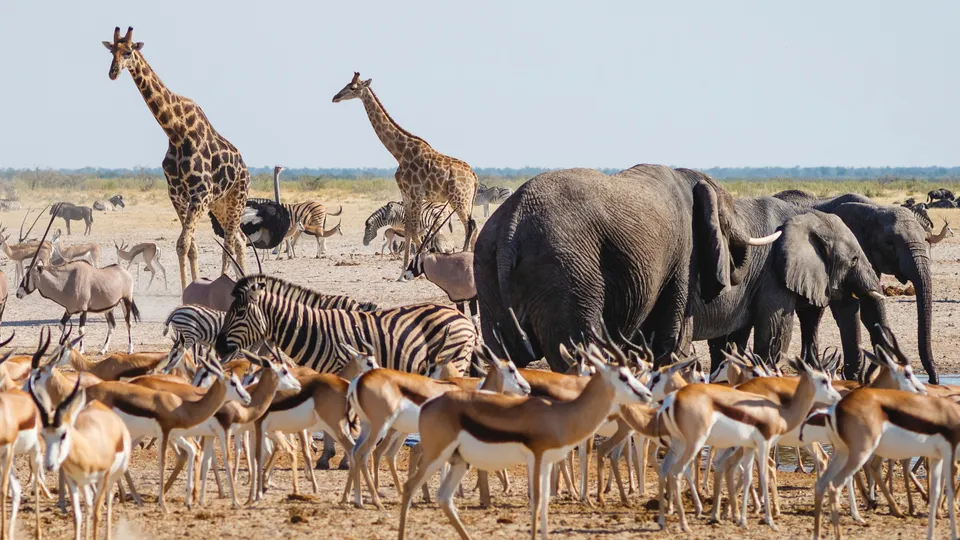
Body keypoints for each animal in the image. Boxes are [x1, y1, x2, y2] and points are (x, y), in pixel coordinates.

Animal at [102, 28, 248, 292]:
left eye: (128, 52)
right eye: (112, 52)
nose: (113, 72)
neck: (176, 132)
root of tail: (246, 170)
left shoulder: (200, 195)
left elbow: (183, 243)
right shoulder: (178, 196)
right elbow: (189, 247)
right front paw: (188, 288)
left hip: (237, 198)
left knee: (230, 243)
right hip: (220, 204)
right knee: (240, 239)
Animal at [215, 274, 476, 376]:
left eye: (239, 313)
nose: (217, 347)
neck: (311, 330)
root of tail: (463, 318)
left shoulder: (345, 367)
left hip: (452, 360)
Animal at [332, 72, 478, 274]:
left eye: (352, 88)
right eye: (346, 84)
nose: (335, 97)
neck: (399, 153)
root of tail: (474, 177)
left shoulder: (416, 194)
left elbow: (415, 233)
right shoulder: (406, 194)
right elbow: (408, 231)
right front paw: (402, 273)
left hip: (459, 198)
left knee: (469, 226)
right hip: (467, 200)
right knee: (474, 226)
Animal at [472, 163, 780, 372]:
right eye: (728, 220)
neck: (688, 176)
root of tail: (512, 223)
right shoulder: (685, 252)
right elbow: (673, 337)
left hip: (486, 265)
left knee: (505, 354)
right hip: (565, 272)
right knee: (577, 350)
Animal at [772, 190, 936, 384]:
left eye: (925, 240)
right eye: (890, 243)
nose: (932, 380)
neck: (874, 210)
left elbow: (869, 306)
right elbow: (849, 307)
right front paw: (853, 377)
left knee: (811, 316)